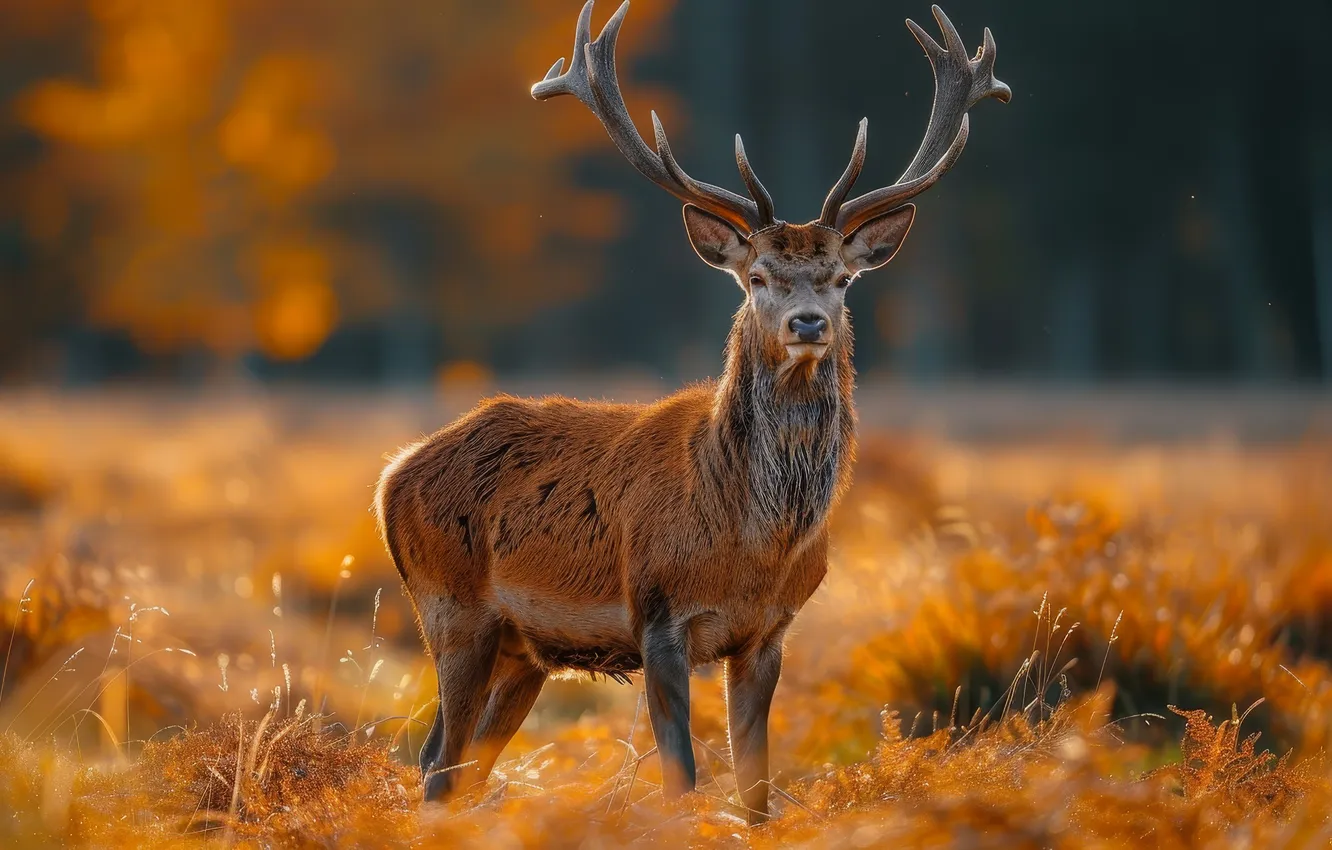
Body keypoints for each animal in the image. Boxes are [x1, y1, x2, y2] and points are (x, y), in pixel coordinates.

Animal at [374, 0, 1008, 824]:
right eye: (759, 276)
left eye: (841, 278)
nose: (809, 322)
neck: (752, 543)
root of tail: (392, 474)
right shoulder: (658, 616)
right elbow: (682, 774)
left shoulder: (770, 633)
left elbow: (755, 787)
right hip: (450, 608)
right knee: (438, 763)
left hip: (525, 650)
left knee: (460, 764)